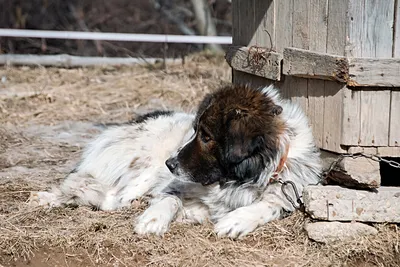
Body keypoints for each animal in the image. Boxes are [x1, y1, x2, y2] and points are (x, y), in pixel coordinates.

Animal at [28, 84, 322, 239]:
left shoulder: (286, 191)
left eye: (205, 136)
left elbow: (267, 205)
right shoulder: (172, 184)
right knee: (104, 196)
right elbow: (169, 197)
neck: (237, 179)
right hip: (142, 168)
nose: (170, 165)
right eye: (194, 131)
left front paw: (237, 219)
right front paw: (153, 219)